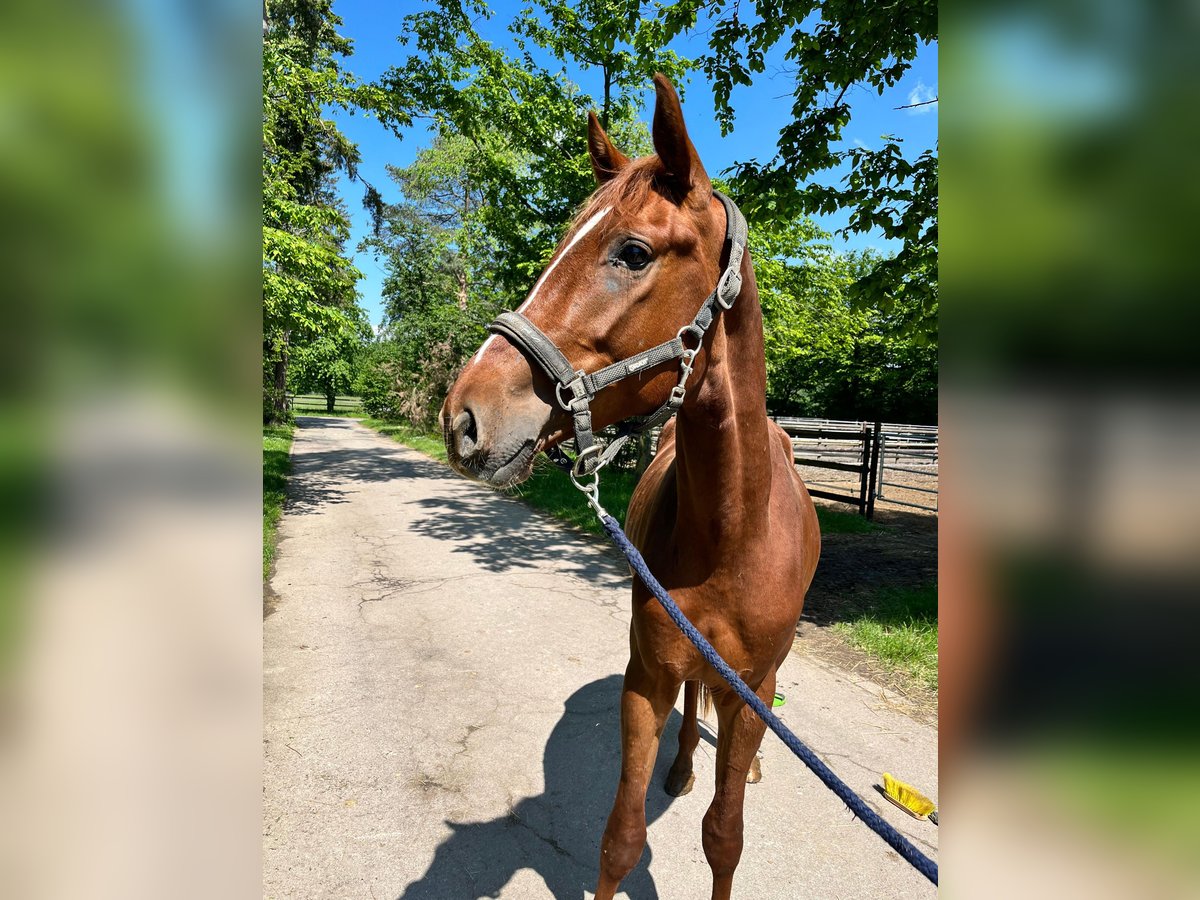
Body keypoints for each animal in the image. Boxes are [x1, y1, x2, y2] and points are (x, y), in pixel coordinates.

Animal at [444, 75, 825, 900]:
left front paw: (736, 791)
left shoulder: (748, 692)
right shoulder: (645, 678)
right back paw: (680, 769)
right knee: (689, 709)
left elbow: (724, 837)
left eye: (633, 252)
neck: (732, 534)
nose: (463, 418)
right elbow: (619, 838)